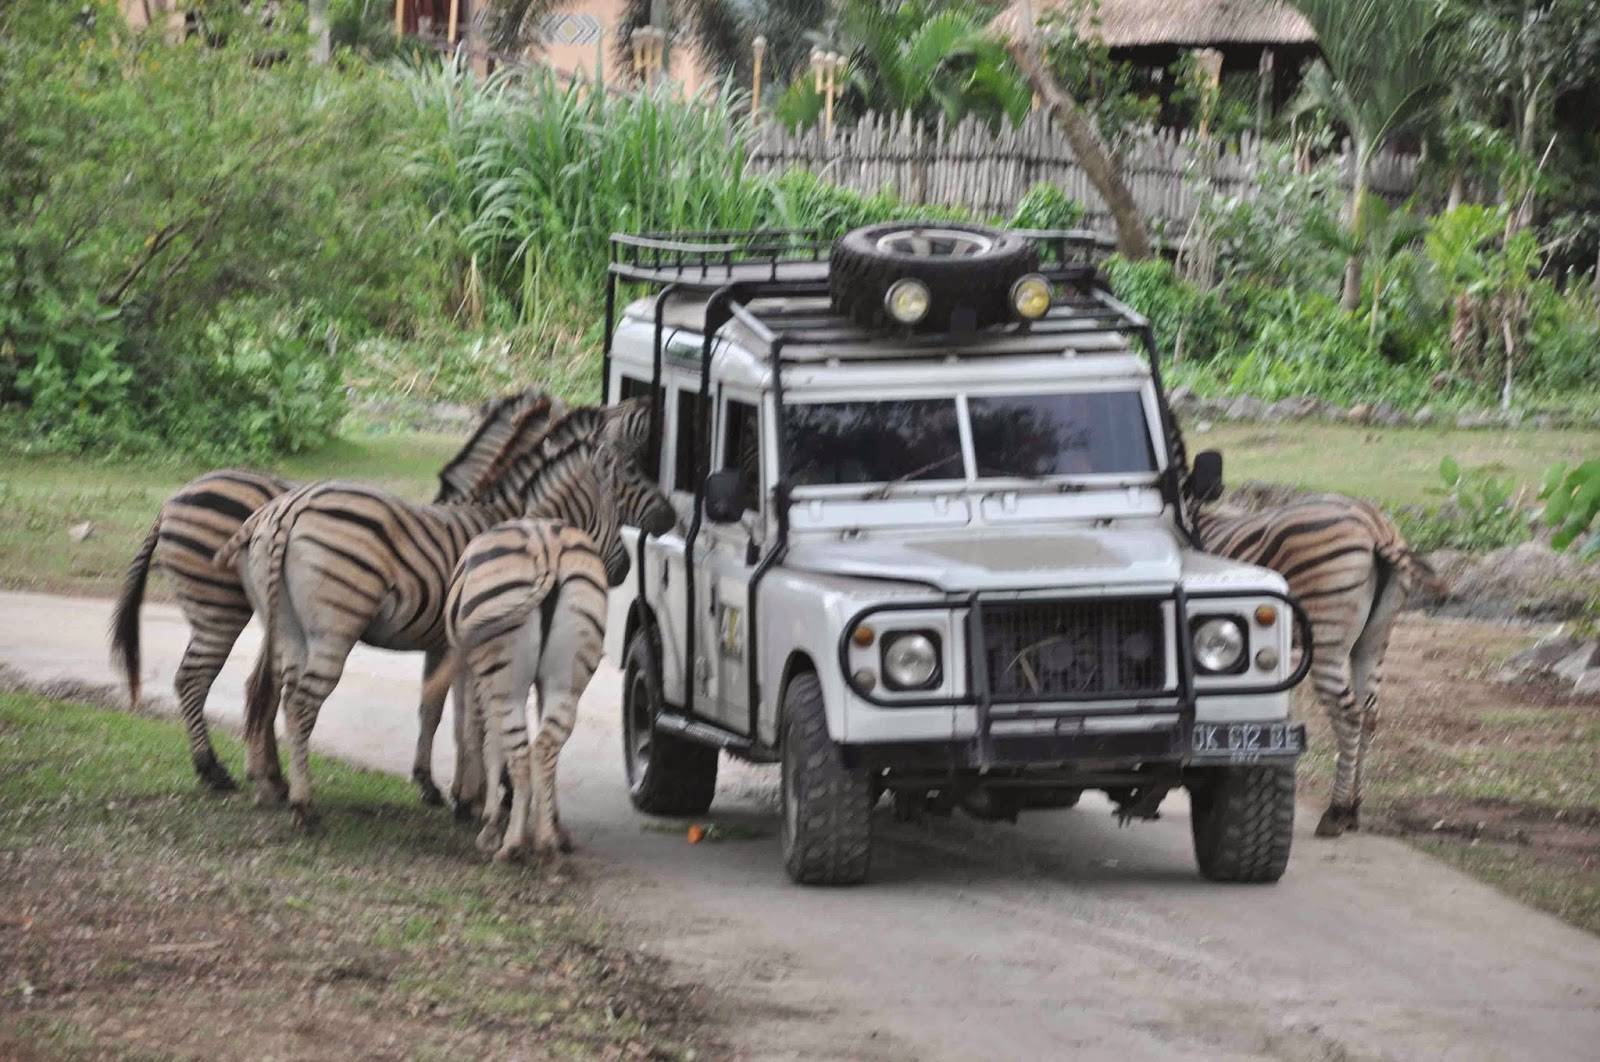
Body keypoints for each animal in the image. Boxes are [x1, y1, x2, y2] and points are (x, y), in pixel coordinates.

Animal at [112, 391, 563, 806]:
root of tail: (170, 502)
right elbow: (458, 711)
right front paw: (476, 788)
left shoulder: (439, 638)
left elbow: (436, 708)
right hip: (220, 609)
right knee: (194, 679)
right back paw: (213, 770)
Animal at [216, 403, 672, 825]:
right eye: (633, 473)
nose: (670, 518)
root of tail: (288, 510)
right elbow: (477, 722)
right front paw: (483, 797)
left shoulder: (453, 647)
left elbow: (449, 715)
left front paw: (462, 794)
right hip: (334, 627)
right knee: (300, 703)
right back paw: (302, 804)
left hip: (287, 627)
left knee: (276, 693)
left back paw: (271, 786)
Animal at [1164, 406, 1452, 838]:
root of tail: (1374, 525)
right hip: (1374, 639)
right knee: (1370, 713)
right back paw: (1354, 809)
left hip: (1328, 637)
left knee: (1349, 715)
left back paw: (1336, 812)